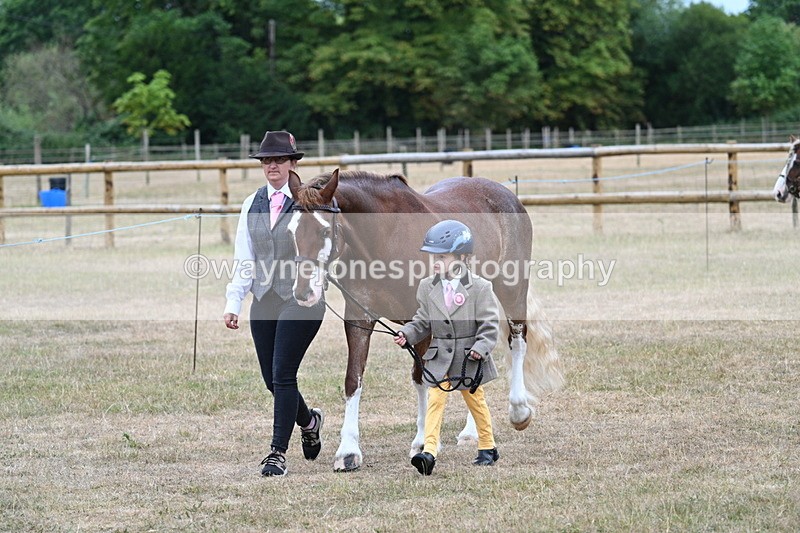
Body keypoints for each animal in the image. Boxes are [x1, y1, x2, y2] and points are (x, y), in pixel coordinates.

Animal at [285, 168, 564, 472]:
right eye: (291, 230)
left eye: (325, 230)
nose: (303, 292)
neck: (383, 239)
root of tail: (505, 194)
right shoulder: (359, 319)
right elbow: (353, 379)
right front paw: (348, 451)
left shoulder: (424, 319)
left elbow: (423, 378)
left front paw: (422, 442)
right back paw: (472, 432)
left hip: (512, 290)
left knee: (517, 341)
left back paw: (518, 411)